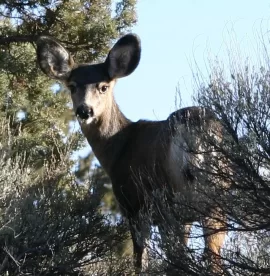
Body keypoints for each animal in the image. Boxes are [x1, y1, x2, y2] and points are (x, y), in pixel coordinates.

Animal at [36, 34, 228, 274]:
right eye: (72, 86)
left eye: (103, 87)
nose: (84, 110)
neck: (118, 147)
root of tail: (196, 135)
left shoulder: (134, 205)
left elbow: (140, 261)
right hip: (216, 198)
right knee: (212, 255)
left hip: (168, 201)